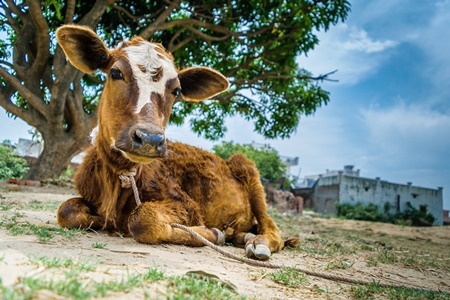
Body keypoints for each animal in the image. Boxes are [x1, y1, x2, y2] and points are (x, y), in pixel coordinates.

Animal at [55, 25, 298, 260]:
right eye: (115, 73)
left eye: (176, 90)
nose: (149, 138)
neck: (120, 176)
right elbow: (67, 211)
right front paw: (99, 219)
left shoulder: (186, 205)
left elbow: (143, 218)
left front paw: (212, 233)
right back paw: (241, 235)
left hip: (248, 169)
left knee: (271, 228)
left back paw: (258, 243)